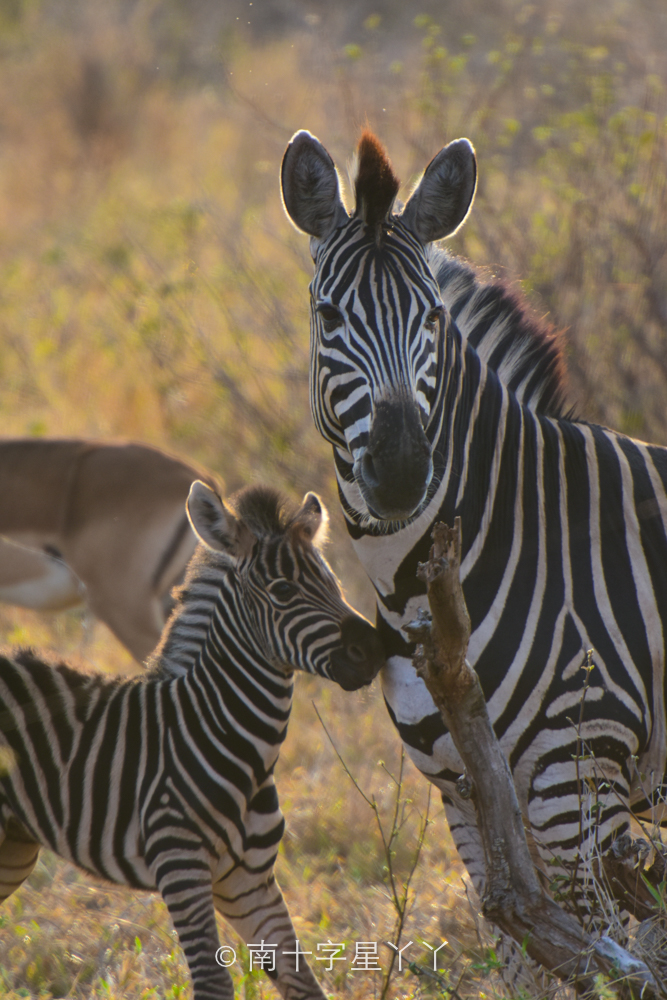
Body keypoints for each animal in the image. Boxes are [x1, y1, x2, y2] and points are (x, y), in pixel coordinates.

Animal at [0, 480, 384, 996]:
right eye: (283, 591)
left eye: (334, 584)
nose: (377, 651)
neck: (225, 735)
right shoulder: (181, 869)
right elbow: (214, 983)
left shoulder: (248, 882)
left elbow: (303, 982)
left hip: (13, 845)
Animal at [284, 131, 667, 976]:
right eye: (326, 315)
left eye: (429, 316)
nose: (399, 469)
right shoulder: (464, 792)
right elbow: (526, 961)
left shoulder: (575, 787)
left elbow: (605, 960)